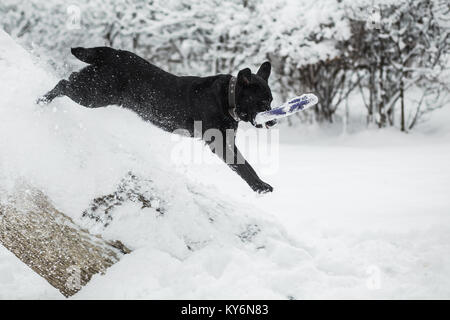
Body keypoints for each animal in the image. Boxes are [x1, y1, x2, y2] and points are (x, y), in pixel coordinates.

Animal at [38, 47, 276, 192]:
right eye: (262, 103)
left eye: (271, 101)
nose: (273, 122)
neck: (228, 96)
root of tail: (112, 53)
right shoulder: (219, 142)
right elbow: (244, 165)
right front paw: (260, 186)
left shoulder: (227, 140)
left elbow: (245, 164)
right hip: (93, 94)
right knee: (63, 84)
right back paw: (41, 101)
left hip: (91, 90)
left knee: (67, 81)